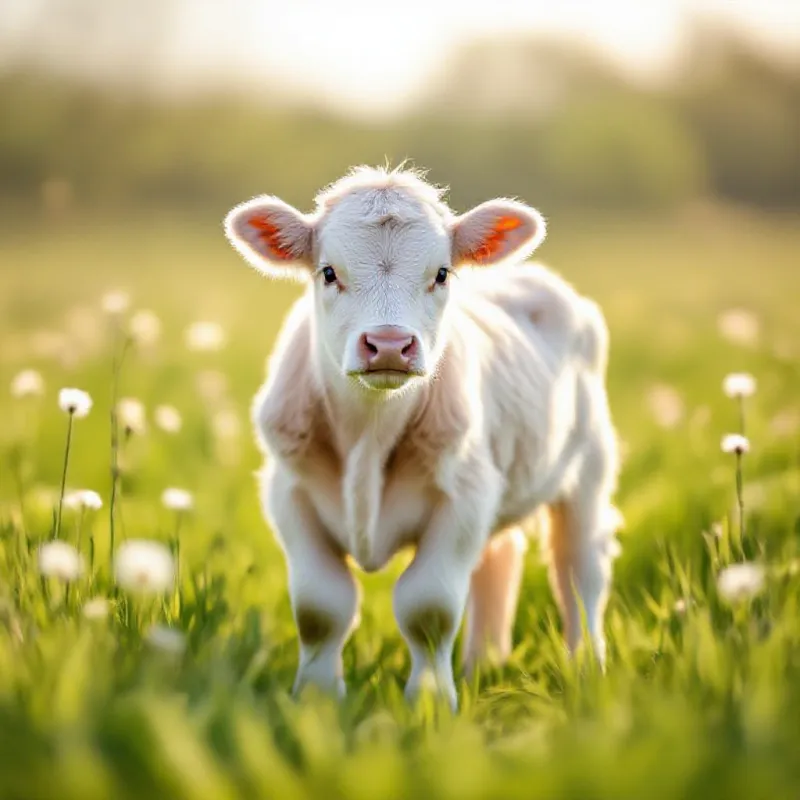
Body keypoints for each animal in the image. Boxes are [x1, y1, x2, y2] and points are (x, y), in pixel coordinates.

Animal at [224, 165, 621, 709]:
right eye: (328, 272)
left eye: (442, 273)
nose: (389, 344)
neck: (369, 435)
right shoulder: (290, 492)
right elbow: (320, 607)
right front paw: (317, 699)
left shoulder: (464, 498)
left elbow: (427, 607)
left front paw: (430, 704)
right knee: (500, 560)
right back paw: (483, 664)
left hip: (588, 471)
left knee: (580, 569)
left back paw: (586, 671)